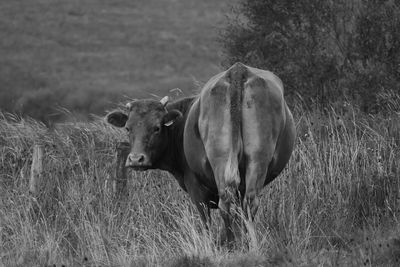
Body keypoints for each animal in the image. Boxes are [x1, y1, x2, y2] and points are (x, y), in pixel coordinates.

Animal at [104, 62, 296, 245]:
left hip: (220, 160)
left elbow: (206, 221)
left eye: (156, 128)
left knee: (225, 205)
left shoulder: (194, 185)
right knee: (248, 203)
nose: (136, 159)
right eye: (128, 128)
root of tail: (238, 70)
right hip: (257, 159)